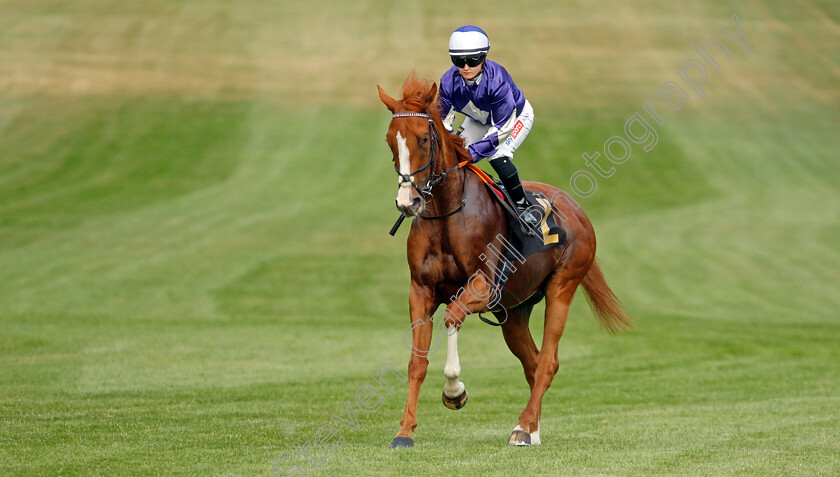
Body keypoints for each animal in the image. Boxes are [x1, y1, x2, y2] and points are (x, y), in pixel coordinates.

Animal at [378, 73, 628, 446]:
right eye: (391, 141)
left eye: (423, 138)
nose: (408, 202)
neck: (448, 215)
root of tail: (577, 210)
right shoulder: (420, 291)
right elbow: (416, 362)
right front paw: (405, 431)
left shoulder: (483, 287)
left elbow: (452, 318)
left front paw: (454, 391)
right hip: (514, 312)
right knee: (533, 363)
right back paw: (531, 428)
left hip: (561, 287)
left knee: (548, 362)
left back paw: (522, 428)